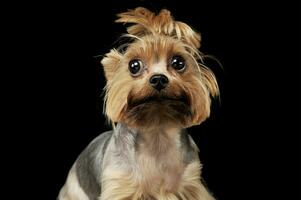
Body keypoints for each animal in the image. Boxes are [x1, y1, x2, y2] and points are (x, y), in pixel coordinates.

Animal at [58, 7, 218, 200]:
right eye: (134, 65)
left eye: (178, 62)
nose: (158, 79)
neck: (157, 132)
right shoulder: (119, 185)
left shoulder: (191, 183)